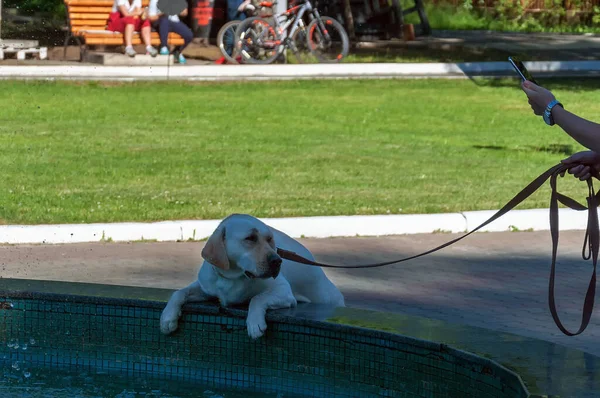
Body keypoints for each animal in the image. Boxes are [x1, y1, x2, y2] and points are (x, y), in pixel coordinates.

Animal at [161, 215, 346, 338]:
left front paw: (255, 323)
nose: (277, 261)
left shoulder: (283, 292)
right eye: (250, 238)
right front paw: (168, 318)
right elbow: (178, 293)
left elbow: (257, 298)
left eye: (270, 239)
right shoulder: (205, 288)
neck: (234, 277)